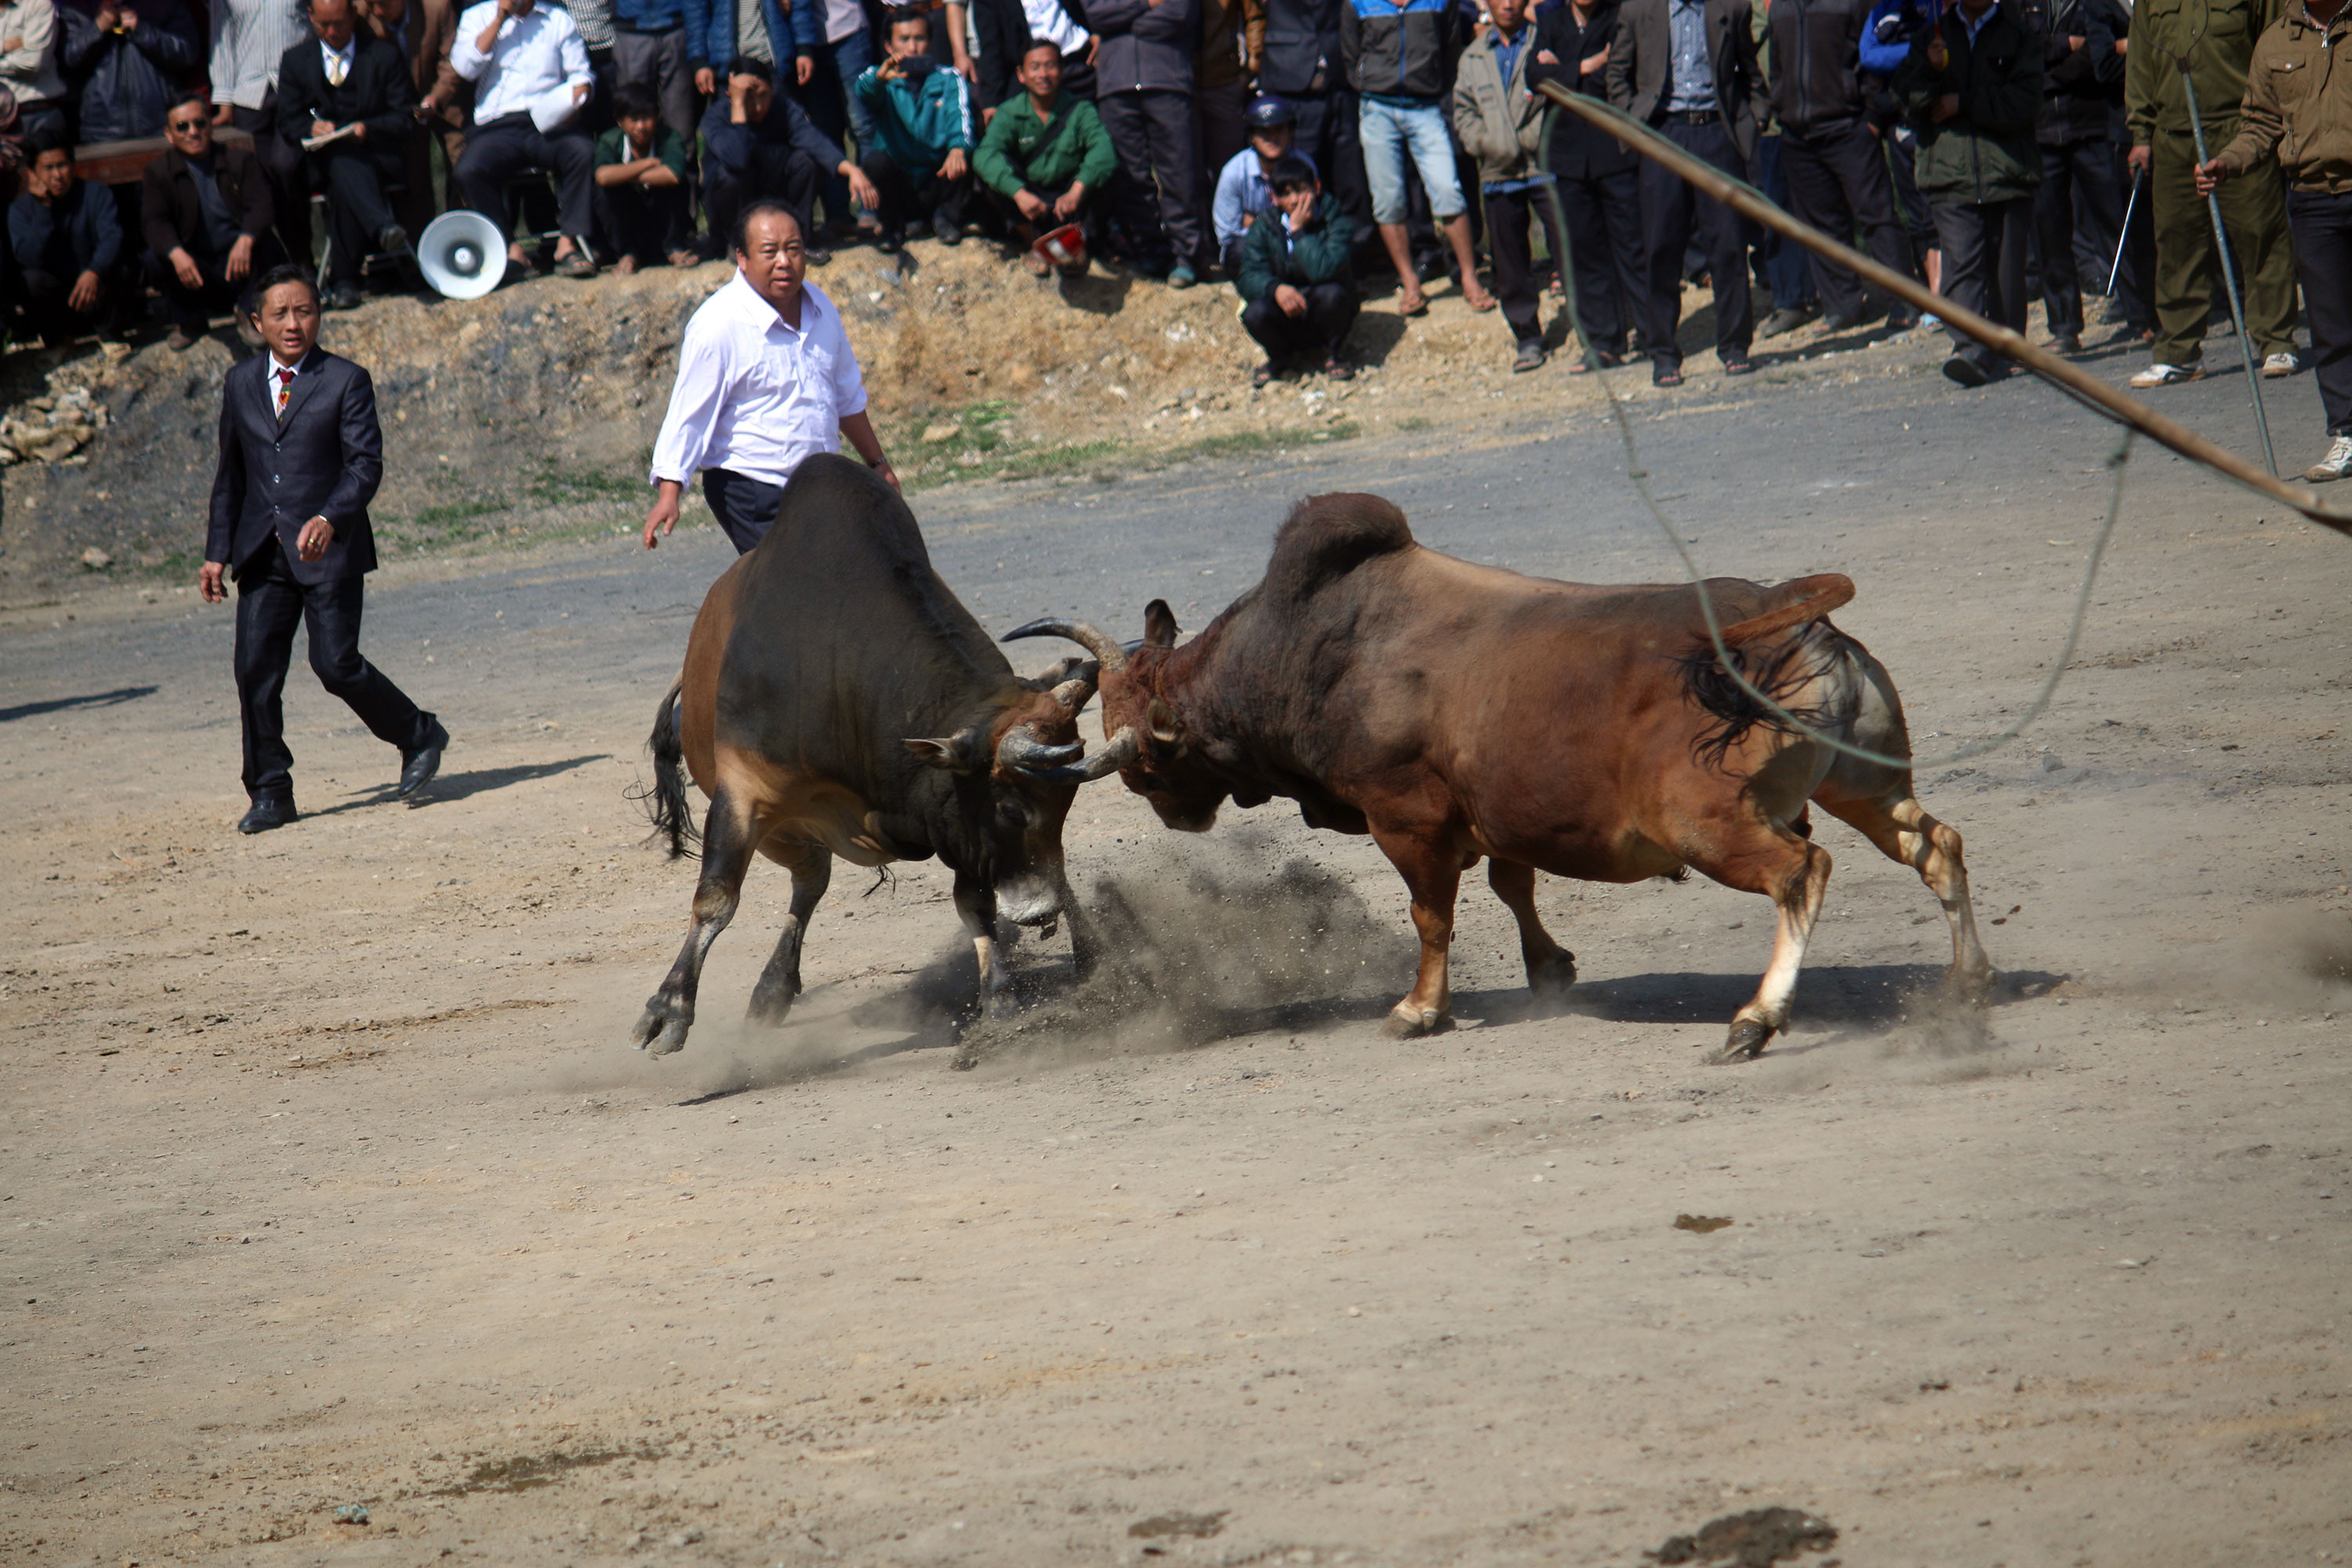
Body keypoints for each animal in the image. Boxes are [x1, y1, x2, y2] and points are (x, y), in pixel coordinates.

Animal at [1011, 491, 1985, 1062]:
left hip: (1713, 824)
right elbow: (1516, 883)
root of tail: (1793, 617)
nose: (1178, 816)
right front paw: (1549, 967)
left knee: (1802, 871)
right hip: (1863, 784)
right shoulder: (1500, 815)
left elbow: (1431, 916)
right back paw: (1966, 980)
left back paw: (1755, 1019)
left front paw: (1419, 1009)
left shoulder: (1406, 820)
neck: (1313, 650)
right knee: (1937, 844)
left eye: (1142, 765)